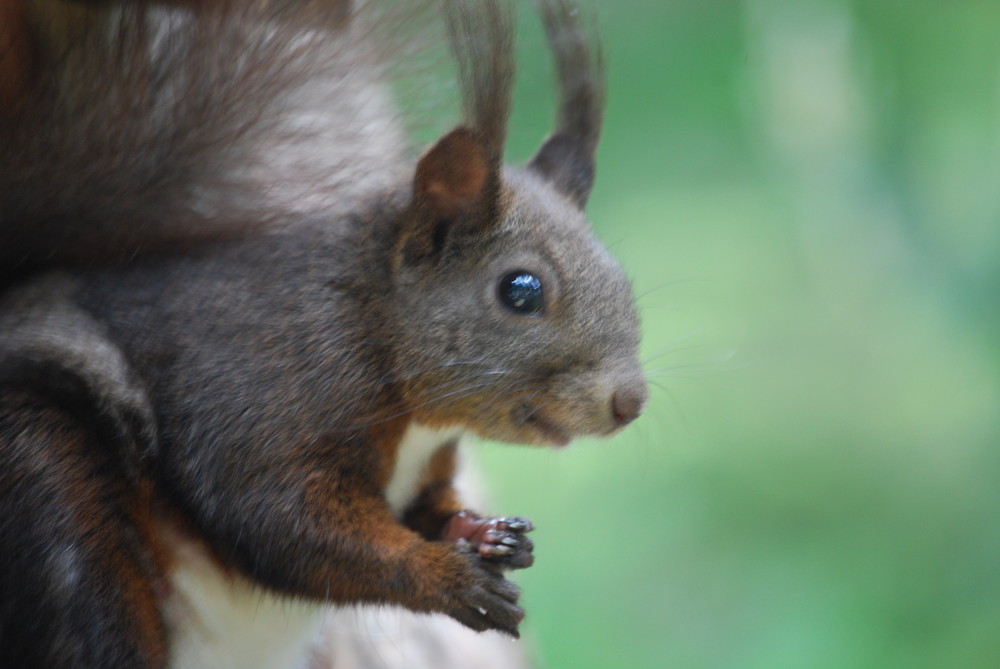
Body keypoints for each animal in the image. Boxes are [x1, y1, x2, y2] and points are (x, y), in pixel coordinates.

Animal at [0, 0, 648, 664]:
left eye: (620, 275)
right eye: (521, 291)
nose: (630, 402)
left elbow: (426, 510)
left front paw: (489, 534)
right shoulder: (259, 397)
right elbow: (287, 522)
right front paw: (445, 575)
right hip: (49, 485)